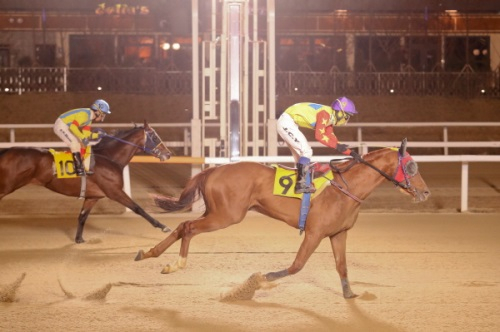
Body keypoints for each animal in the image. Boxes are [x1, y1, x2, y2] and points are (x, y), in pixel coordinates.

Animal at [0, 120, 173, 243]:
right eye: (155, 136)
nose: (168, 154)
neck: (110, 158)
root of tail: (7, 151)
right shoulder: (114, 191)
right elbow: (138, 208)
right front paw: (163, 227)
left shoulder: (92, 197)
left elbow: (82, 217)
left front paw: (79, 239)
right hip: (6, 186)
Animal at [136, 139, 430, 300]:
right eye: (412, 166)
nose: (426, 192)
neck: (345, 188)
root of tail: (213, 170)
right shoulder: (314, 233)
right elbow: (297, 266)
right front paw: (262, 279)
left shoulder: (338, 233)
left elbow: (342, 266)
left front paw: (349, 293)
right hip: (225, 216)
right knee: (188, 227)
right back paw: (177, 264)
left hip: (217, 212)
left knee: (181, 226)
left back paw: (150, 254)